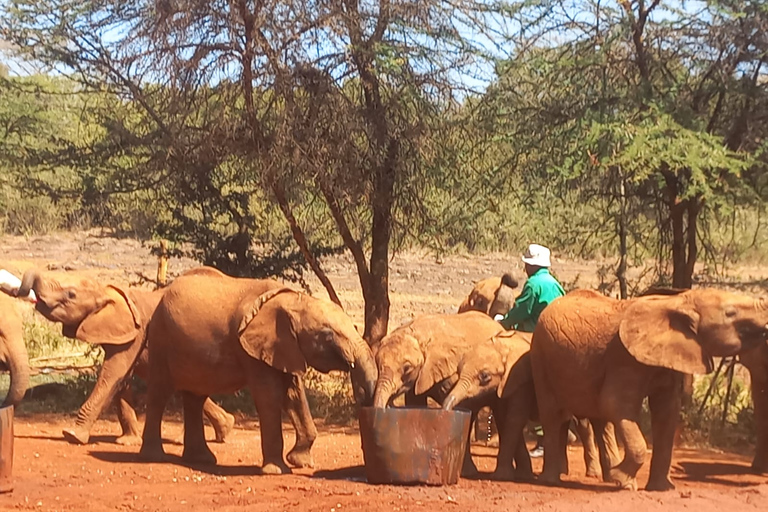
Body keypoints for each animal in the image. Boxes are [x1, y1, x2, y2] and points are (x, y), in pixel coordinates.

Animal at [13, 266, 237, 446]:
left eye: (71, 294)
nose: (20, 291)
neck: (106, 290)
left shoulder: (137, 332)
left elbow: (113, 373)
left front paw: (72, 435)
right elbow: (120, 379)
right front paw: (128, 441)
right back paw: (226, 430)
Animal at [140, 272, 380, 476]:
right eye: (327, 335)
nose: (364, 398)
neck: (294, 301)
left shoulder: (284, 347)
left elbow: (294, 394)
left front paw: (301, 462)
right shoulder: (251, 348)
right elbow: (270, 395)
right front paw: (278, 471)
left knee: (195, 397)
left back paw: (202, 459)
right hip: (161, 340)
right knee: (160, 392)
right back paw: (155, 457)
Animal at [532, 286, 768, 490]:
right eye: (731, 313)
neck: (678, 301)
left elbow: (667, 411)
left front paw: (661, 489)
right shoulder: (624, 358)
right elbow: (615, 405)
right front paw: (624, 483)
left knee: (597, 420)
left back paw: (605, 478)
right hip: (541, 356)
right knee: (552, 415)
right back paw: (552, 480)